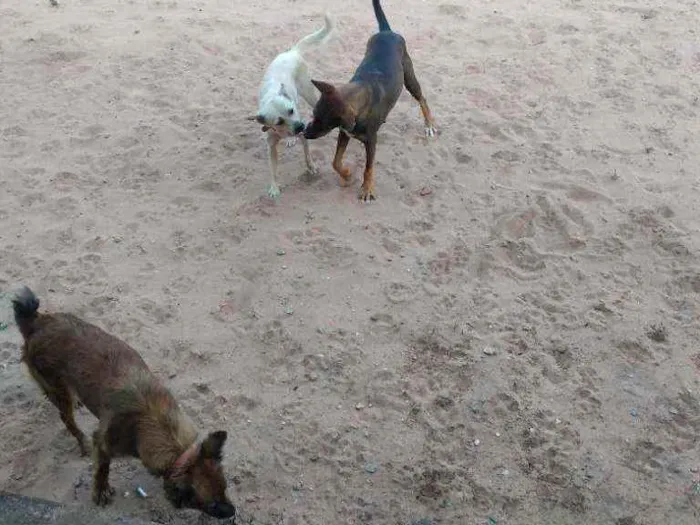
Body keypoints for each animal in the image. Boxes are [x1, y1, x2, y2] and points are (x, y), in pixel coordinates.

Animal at [13, 286, 235, 520]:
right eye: (211, 505)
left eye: (225, 488)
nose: (233, 511)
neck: (155, 421)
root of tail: (37, 322)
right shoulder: (102, 443)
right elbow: (102, 470)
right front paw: (100, 491)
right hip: (57, 389)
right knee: (67, 418)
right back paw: (80, 440)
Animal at [247, 14, 334, 200]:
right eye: (279, 121)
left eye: (291, 110)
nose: (301, 126)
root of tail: (292, 51)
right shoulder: (271, 146)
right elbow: (273, 169)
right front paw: (274, 188)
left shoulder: (303, 134)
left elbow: (307, 154)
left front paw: (311, 167)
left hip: (309, 93)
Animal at [302, 0, 434, 201]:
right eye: (313, 114)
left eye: (324, 122)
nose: (304, 133)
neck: (358, 97)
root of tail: (387, 31)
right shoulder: (344, 133)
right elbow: (335, 162)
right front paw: (347, 175)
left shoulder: (371, 141)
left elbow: (368, 168)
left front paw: (366, 189)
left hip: (409, 77)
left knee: (422, 98)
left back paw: (429, 125)